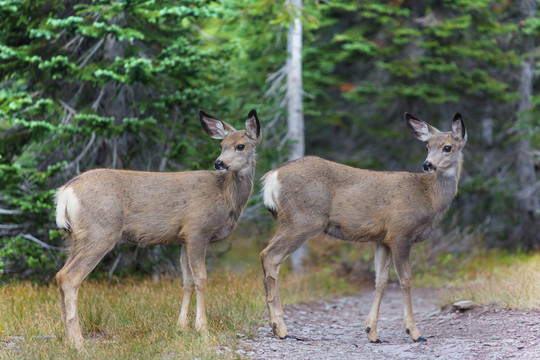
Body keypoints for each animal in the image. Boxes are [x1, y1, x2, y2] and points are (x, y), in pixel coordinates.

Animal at [53, 109, 260, 348]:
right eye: (222, 144)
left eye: (240, 146)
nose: (219, 163)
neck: (225, 196)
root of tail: (65, 191)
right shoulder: (197, 229)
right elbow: (201, 279)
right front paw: (203, 329)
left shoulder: (183, 238)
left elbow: (187, 281)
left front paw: (181, 327)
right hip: (100, 232)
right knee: (70, 277)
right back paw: (78, 343)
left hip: (74, 237)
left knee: (60, 275)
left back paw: (67, 338)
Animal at [260, 112, 466, 344]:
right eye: (428, 146)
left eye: (447, 147)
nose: (428, 164)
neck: (429, 197)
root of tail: (271, 177)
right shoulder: (400, 233)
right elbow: (406, 280)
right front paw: (414, 332)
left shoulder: (383, 239)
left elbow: (381, 281)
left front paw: (372, 332)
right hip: (303, 220)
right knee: (270, 255)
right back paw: (280, 328)